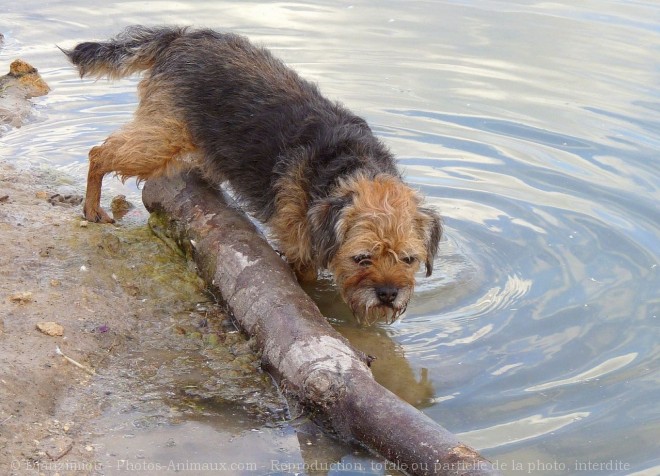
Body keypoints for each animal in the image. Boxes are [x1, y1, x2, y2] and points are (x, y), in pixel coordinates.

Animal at [63, 25, 444, 324]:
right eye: (362, 257)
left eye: (409, 259)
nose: (388, 294)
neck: (348, 168)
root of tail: (182, 36)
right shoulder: (298, 248)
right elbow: (308, 280)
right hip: (160, 138)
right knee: (99, 153)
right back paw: (92, 207)